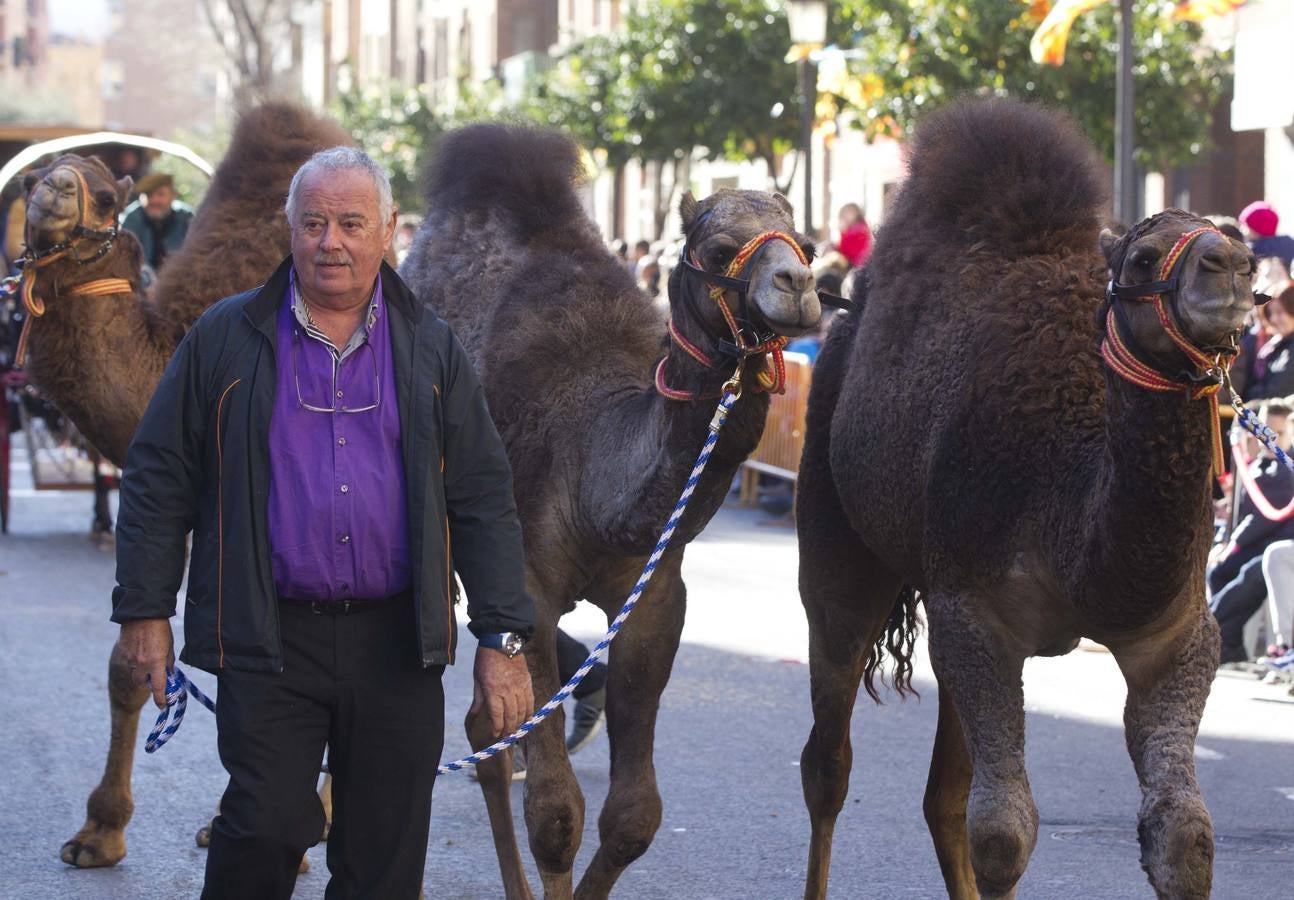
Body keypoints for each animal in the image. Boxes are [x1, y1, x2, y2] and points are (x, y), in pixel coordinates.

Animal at [398, 122, 817, 894]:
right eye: (719, 249)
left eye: (803, 239)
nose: (797, 285)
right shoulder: (528, 589)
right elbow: (556, 814)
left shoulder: (653, 593)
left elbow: (634, 816)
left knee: (482, 731)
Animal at [791, 98, 1257, 900]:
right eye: (1143, 257)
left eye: (1237, 243)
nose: (1227, 266)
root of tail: (841, 312)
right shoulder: (979, 612)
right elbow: (1004, 835)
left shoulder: (1174, 631)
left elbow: (1184, 838)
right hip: (837, 535)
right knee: (829, 760)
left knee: (942, 793)